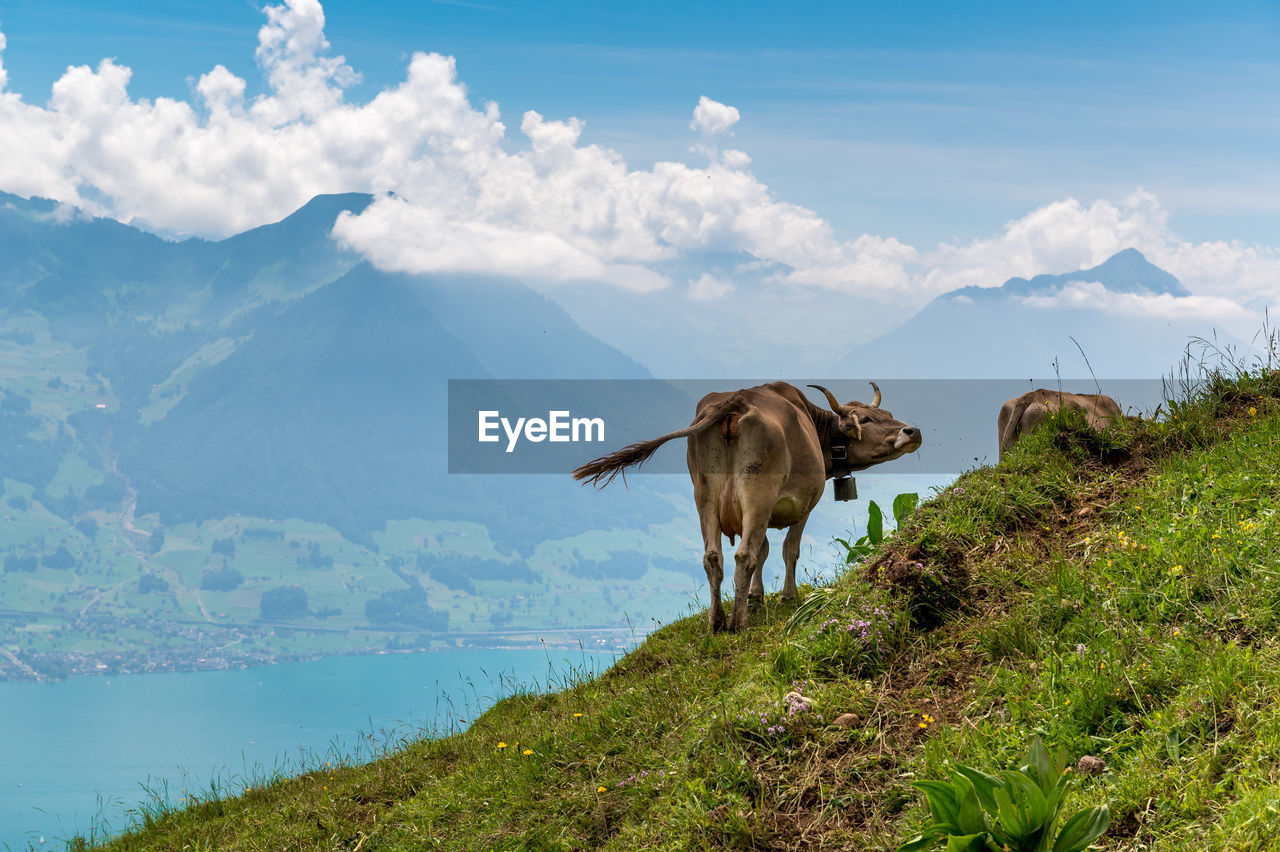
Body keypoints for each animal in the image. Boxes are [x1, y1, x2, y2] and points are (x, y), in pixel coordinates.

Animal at [570, 381, 921, 626]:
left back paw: (717, 622)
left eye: (888, 415)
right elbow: (786, 550)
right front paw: (786, 597)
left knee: (714, 556)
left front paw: (755, 596)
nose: (913, 430)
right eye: (867, 419)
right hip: (758, 491)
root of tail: (737, 399)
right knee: (743, 555)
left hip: (705, 493)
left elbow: (764, 551)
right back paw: (739, 623)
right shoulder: (804, 505)